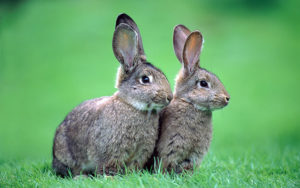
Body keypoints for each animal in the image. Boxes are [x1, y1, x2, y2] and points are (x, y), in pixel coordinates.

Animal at [52, 13, 172, 176]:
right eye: (145, 79)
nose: (169, 97)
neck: (132, 106)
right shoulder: (111, 151)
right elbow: (108, 166)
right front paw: (111, 177)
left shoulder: (141, 153)